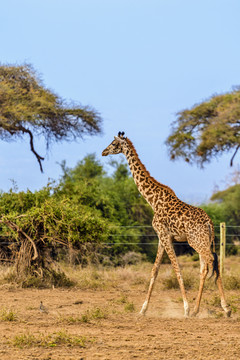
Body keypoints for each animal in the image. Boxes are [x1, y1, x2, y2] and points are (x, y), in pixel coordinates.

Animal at [102, 133, 232, 318]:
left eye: (113, 143)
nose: (103, 152)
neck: (152, 200)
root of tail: (209, 223)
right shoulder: (161, 238)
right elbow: (154, 270)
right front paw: (143, 309)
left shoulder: (164, 235)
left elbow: (177, 269)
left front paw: (185, 308)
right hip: (205, 241)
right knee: (205, 267)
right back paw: (199, 309)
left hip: (196, 241)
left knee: (211, 261)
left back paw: (223, 308)